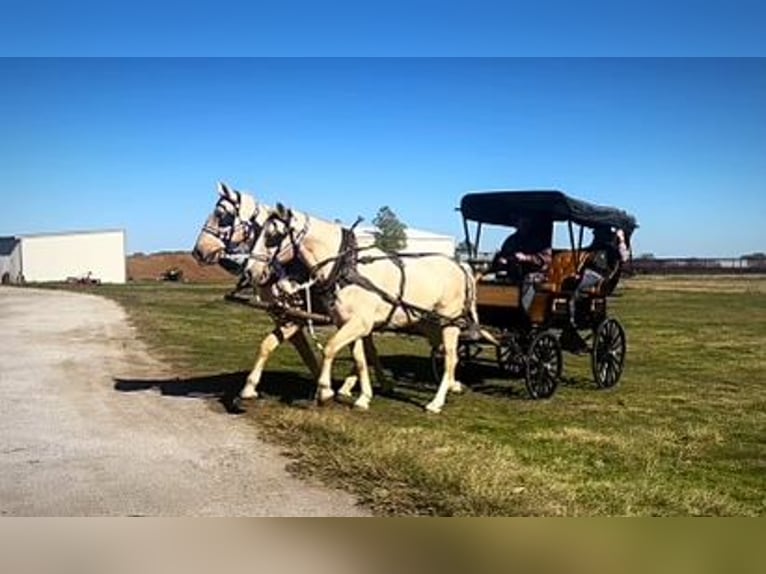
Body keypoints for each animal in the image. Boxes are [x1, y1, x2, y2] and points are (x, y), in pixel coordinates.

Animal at [192, 184, 384, 404]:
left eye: (222, 215)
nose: (199, 251)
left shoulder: (294, 319)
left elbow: (297, 351)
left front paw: (324, 388)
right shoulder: (284, 318)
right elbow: (283, 349)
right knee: (367, 348)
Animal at [246, 202, 476, 414]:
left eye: (273, 235)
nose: (250, 271)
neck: (345, 267)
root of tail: (460, 266)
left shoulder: (358, 324)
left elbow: (330, 348)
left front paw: (325, 390)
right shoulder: (349, 324)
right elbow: (360, 359)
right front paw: (363, 397)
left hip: (449, 323)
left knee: (450, 357)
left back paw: (436, 402)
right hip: (429, 324)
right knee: (443, 352)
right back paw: (453, 386)